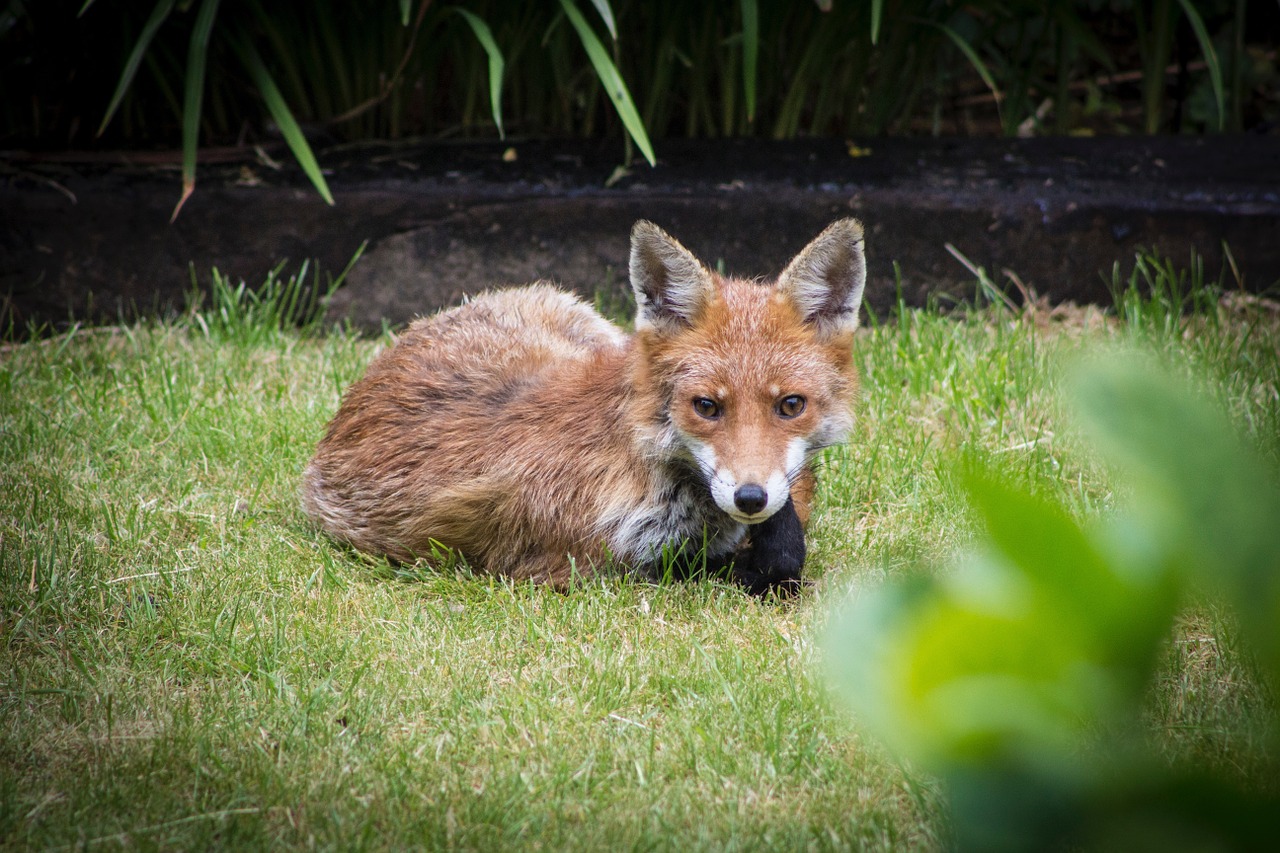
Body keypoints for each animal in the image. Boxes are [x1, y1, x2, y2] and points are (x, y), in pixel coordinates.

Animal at [299, 217, 865, 591]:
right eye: (706, 406)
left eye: (791, 405)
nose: (751, 498)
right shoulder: (584, 567)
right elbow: (762, 560)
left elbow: (789, 530)